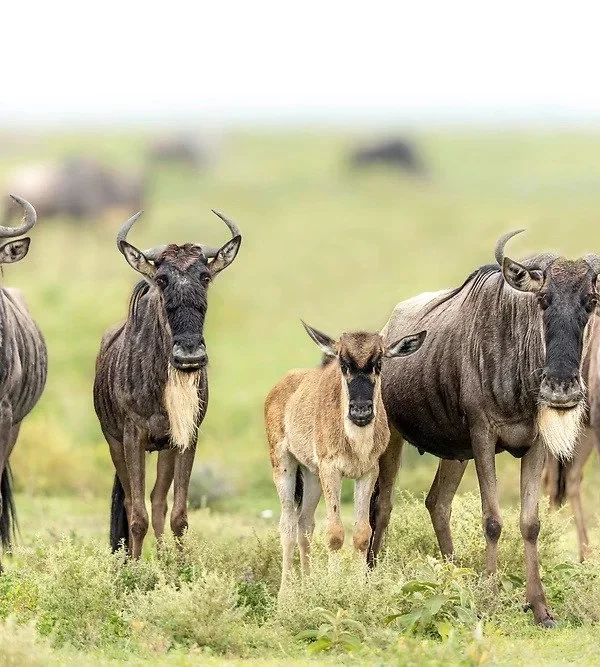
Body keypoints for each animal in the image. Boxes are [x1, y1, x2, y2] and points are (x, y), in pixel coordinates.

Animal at [265, 322, 425, 594]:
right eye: (343, 364)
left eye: (378, 363)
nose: (360, 411)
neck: (355, 441)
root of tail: (281, 385)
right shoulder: (332, 471)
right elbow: (334, 534)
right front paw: (333, 588)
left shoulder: (367, 473)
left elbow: (362, 534)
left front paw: (360, 589)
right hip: (284, 465)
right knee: (287, 525)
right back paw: (285, 595)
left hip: (312, 475)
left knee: (304, 525)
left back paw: (308, 587)